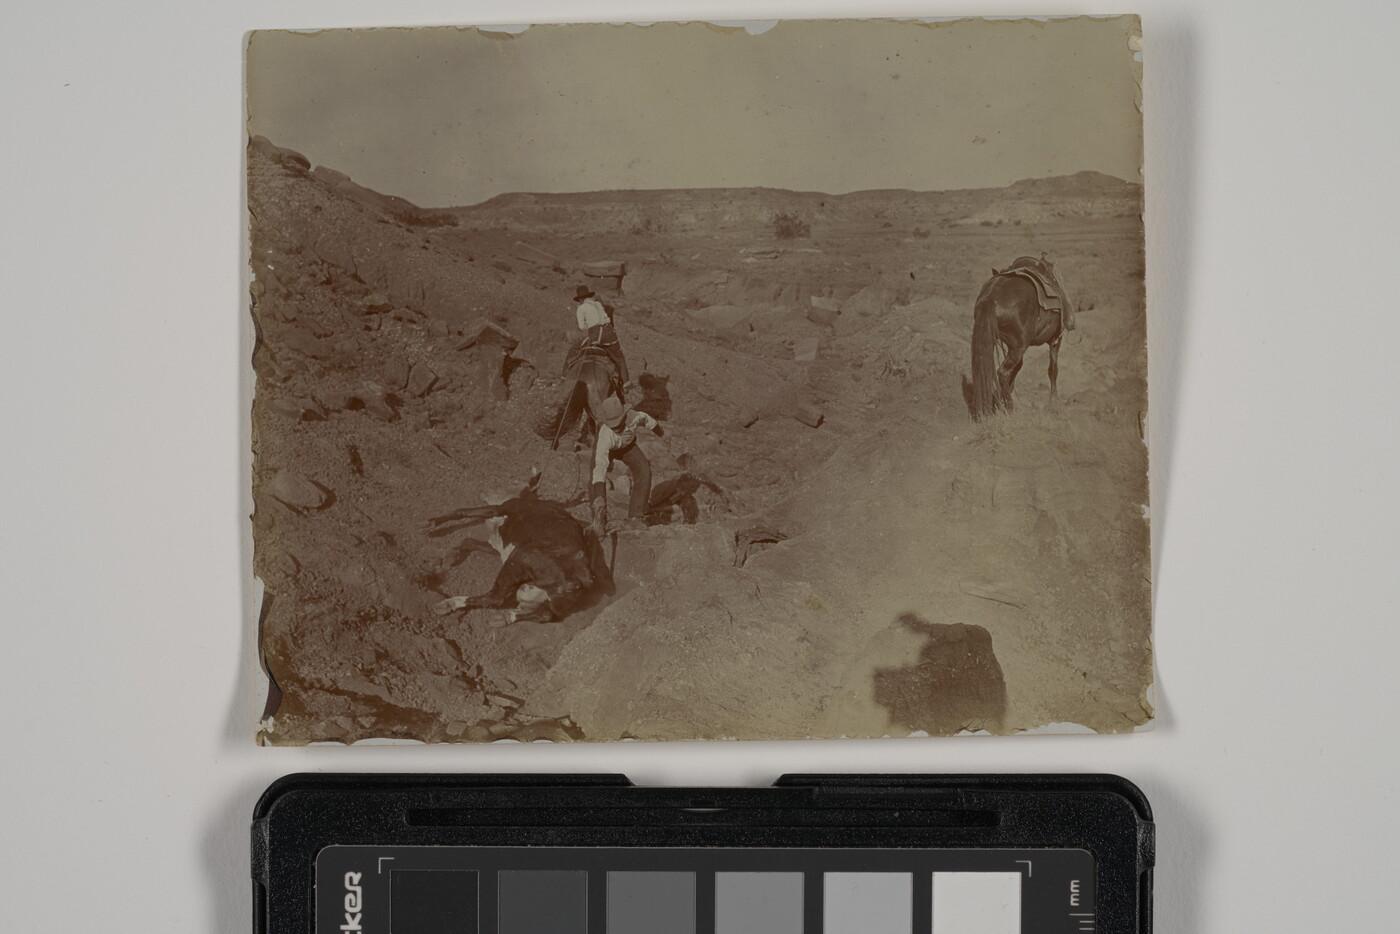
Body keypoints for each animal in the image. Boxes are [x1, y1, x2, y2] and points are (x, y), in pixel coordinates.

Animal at [963, 252, 1080, 420]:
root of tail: (991, 298)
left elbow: (1019, 368)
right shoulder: (1055, 340)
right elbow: (1053, 370)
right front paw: (1053, 406)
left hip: (997, 341)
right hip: (1019, 347)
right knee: (1003, 372)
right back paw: (1010, 408)